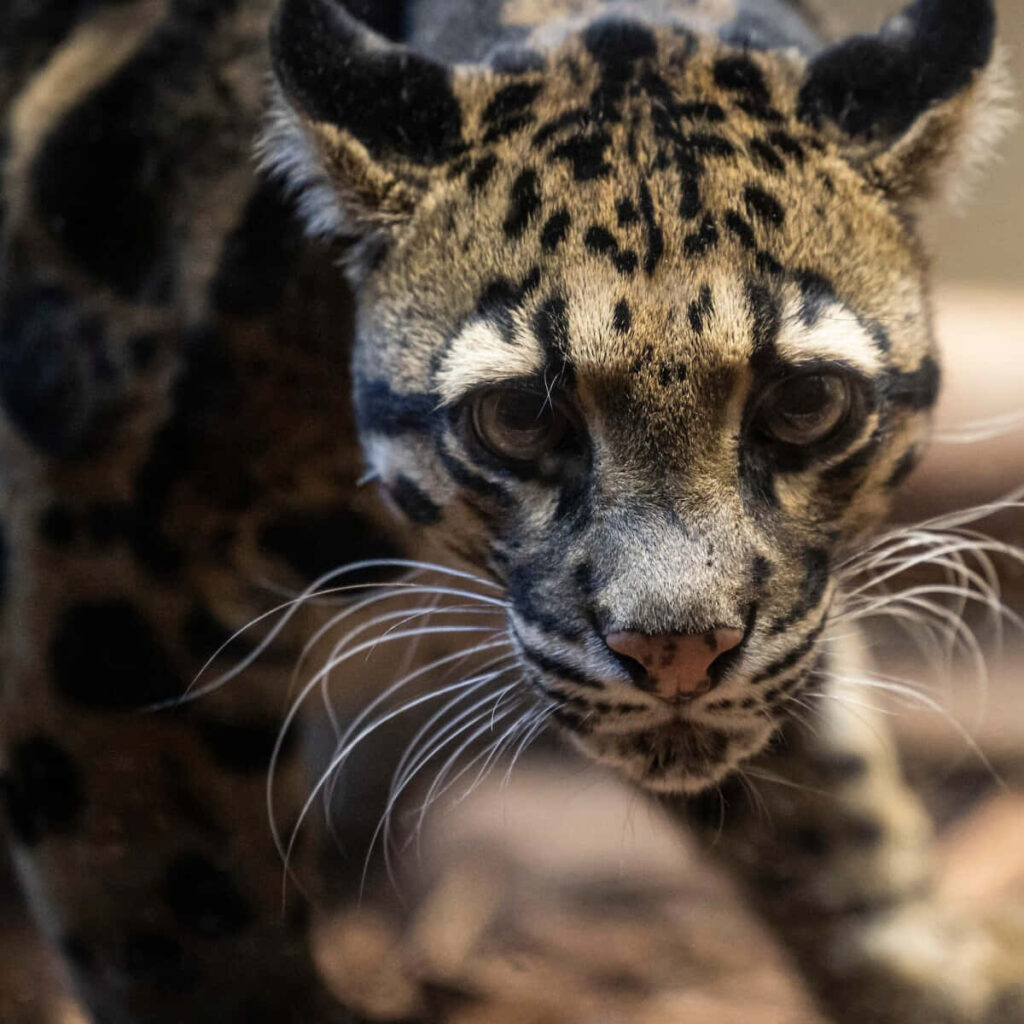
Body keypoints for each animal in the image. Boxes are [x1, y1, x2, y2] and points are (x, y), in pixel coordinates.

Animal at [1, 0, 1021, 1022]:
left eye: (806, 401)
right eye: (520, 416)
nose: (677, 652)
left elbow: (840, 805)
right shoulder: (106, 603)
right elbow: (188, 930)